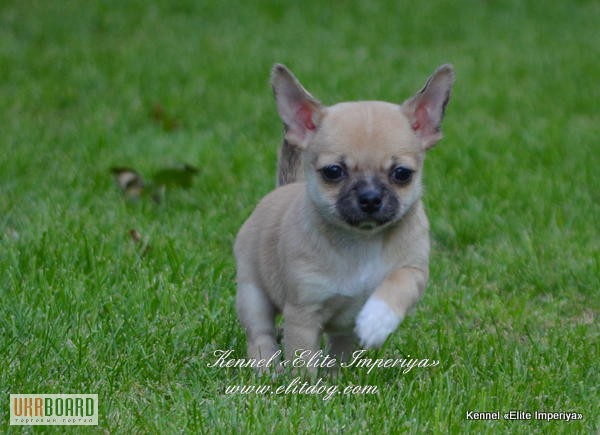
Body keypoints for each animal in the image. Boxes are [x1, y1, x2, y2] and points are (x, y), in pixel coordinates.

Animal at [234, 63, 454, 372]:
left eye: (402, 174)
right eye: (333, 172)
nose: (371, 198)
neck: (362, 240)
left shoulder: (413, 270)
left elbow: (397, 282)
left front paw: (376, 321)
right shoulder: (302, 314)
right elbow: (303, 359)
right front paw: (304, 384)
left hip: (341, 332)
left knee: (339, 348)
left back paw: (336, 374)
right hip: (252, 292)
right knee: (260, 333)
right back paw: (268, 367)